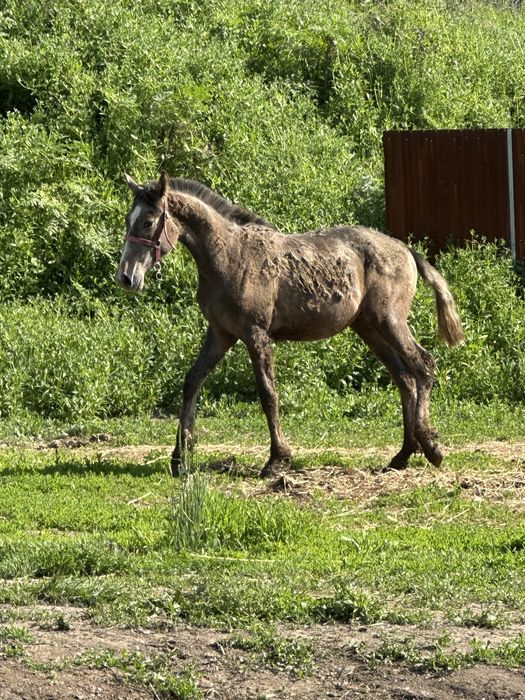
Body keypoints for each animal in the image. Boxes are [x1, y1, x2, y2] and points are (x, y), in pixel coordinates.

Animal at [117, 172, 464, 478]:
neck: (229, 255)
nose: (126, 277)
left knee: (423, 364)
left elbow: (267, 394)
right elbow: (192, 382)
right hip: (369, 328)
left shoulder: (255, 335)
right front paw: (179, 457)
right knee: (404, 377)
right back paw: (402, 455)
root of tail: (405, 249)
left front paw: (277, 460)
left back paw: (431, 446)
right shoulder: (220, 334)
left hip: (389, 321)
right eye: (128, 220)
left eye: (148, 222)